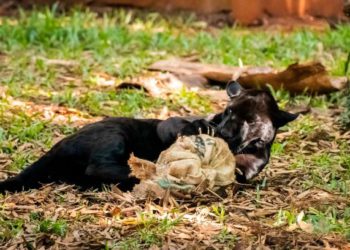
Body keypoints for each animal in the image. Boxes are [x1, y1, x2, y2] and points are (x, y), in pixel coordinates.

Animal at [0, 82, 298, 193]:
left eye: (251, 121)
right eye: (228, 111)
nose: (223, 132)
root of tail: (57, 147)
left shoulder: (248, 166)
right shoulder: (168, 123)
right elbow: (178, 125)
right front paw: (200, 128)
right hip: (114, 135)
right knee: (99, 167)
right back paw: (150, 174)